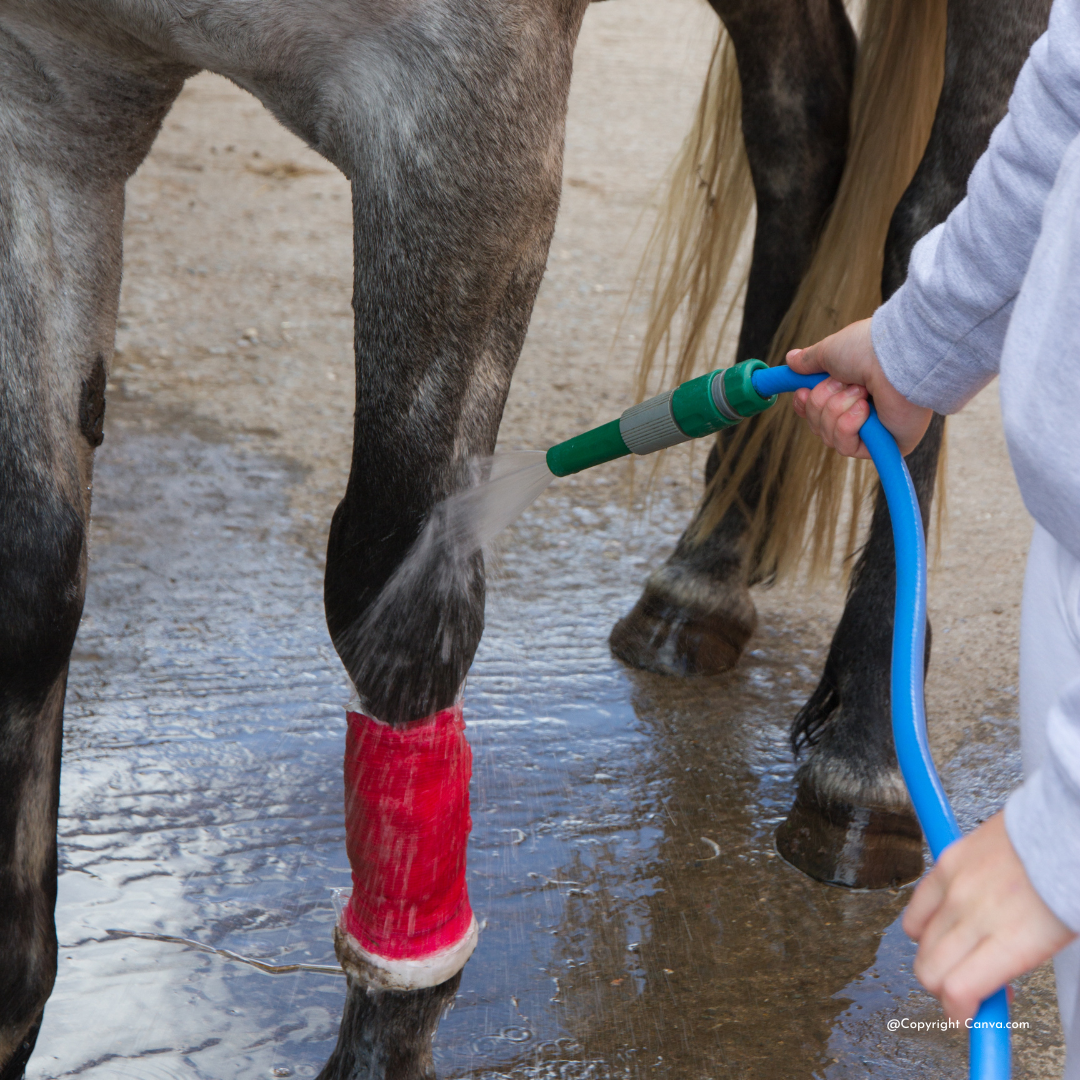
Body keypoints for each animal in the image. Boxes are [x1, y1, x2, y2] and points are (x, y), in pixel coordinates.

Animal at [0, 1, 1052, 1078]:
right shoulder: (41, 97)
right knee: (801, 133)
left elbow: (398, 607)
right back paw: (707, 565)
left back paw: (866, 749)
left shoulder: (461, 104)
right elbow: (31, 577)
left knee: (939, 218)